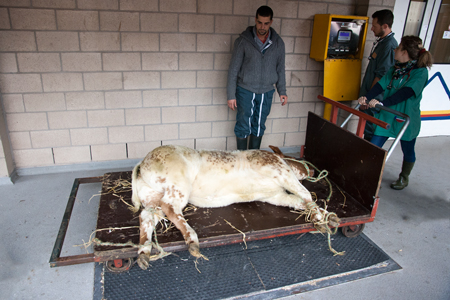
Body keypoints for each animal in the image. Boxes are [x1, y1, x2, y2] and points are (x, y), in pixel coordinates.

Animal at [130, 145, 338, 270]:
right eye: (291, 157)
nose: (314, 170)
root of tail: (142, 162)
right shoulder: (281, 171)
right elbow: (305, 194)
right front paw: (320, 221)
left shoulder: (275, 196)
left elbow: (299, 201)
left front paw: (331, 217)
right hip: (178, 186)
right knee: (171, 208)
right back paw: (192, 241)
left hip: (152, 198)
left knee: (147, 217)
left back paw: (143, 254)